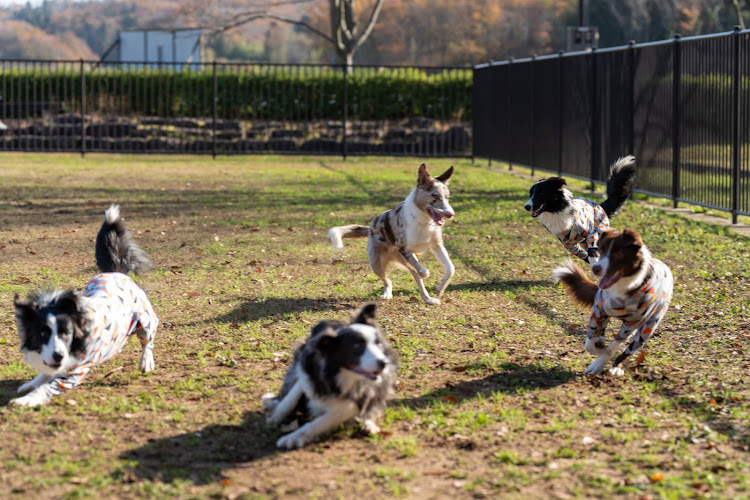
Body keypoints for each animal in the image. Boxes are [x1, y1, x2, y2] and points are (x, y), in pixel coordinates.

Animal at [11, 206, 159, 406]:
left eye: (66, 333)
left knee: (148, 339)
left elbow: (48, 386)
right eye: (42, 333)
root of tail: (117, 273)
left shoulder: (73, 371)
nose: (59, 356)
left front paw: (26, 400)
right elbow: (44, 373)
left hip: (144, 319)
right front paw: (31, 384)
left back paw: (146, 362)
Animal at [262, 302, 396, 452]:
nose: (384, 363)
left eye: (379, 344)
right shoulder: (307, 372)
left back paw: (369, 423)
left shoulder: (360, 397)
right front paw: (275, 418)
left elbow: (325, 419)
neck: (339, 375)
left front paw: (292, 437)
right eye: (357, 347)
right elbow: (290, 399)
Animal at [330, 164, 458, 304]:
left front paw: (440, 288)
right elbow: (422, 271)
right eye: (435, 196)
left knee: (414, 276)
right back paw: (387, 293)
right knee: (390, 280)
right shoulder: (404, 248)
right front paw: (425, 273)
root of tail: (370, 228)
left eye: (448, 197)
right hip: (377, 264)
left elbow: (450, 268)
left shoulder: (436, 245)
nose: (451, 214)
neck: (423, 220)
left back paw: (428, 299)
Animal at [552, 229, 676, 376]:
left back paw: (616, 366)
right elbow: (590, 343)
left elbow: (613, 347)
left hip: (649, 327)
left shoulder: (631, 325)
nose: (595, 268)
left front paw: (598, 363)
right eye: (601, 250)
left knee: (629, 349)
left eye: (618, 253)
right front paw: (599, 347)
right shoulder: (598, 310)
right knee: (602, 329)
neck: (622, 287)